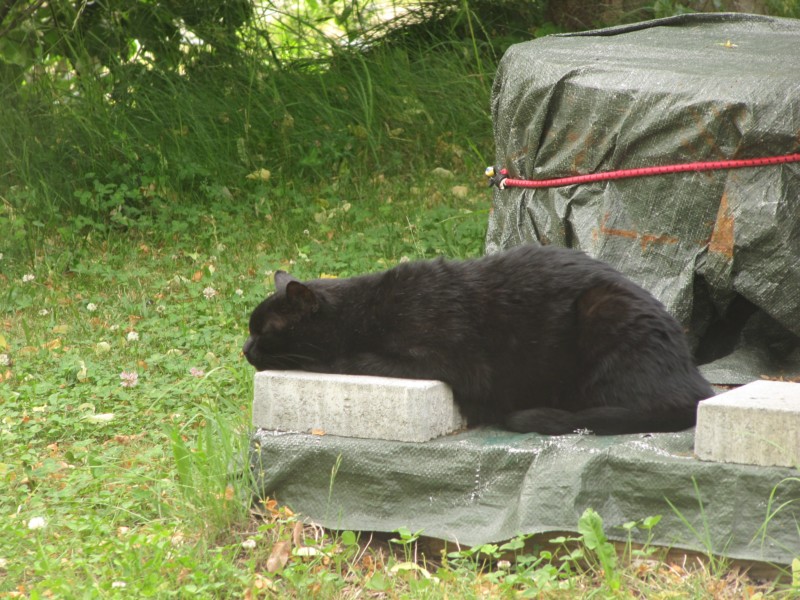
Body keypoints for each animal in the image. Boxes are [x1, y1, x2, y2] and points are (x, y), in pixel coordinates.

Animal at [244, 244, 712, 436]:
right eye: (250, 330)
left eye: (264, 331)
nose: (245, 349)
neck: (362, 312)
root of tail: (695, 384)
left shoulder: (442, 361)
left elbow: (352, 359)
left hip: (604, 310)